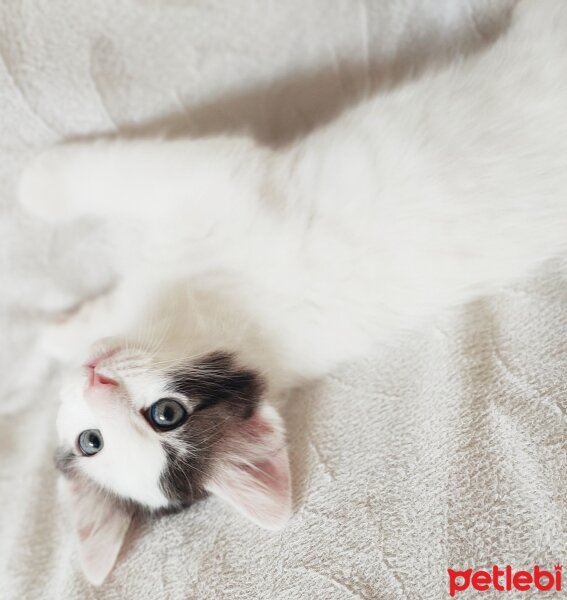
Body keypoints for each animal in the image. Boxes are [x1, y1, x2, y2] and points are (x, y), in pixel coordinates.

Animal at [17, 0, 567, 584]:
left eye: (167, 414)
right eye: (91, 442)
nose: (95, 379)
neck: (202, 313)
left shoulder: (218, 185)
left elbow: (119, 174)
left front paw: (35, 181)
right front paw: (62, 333)